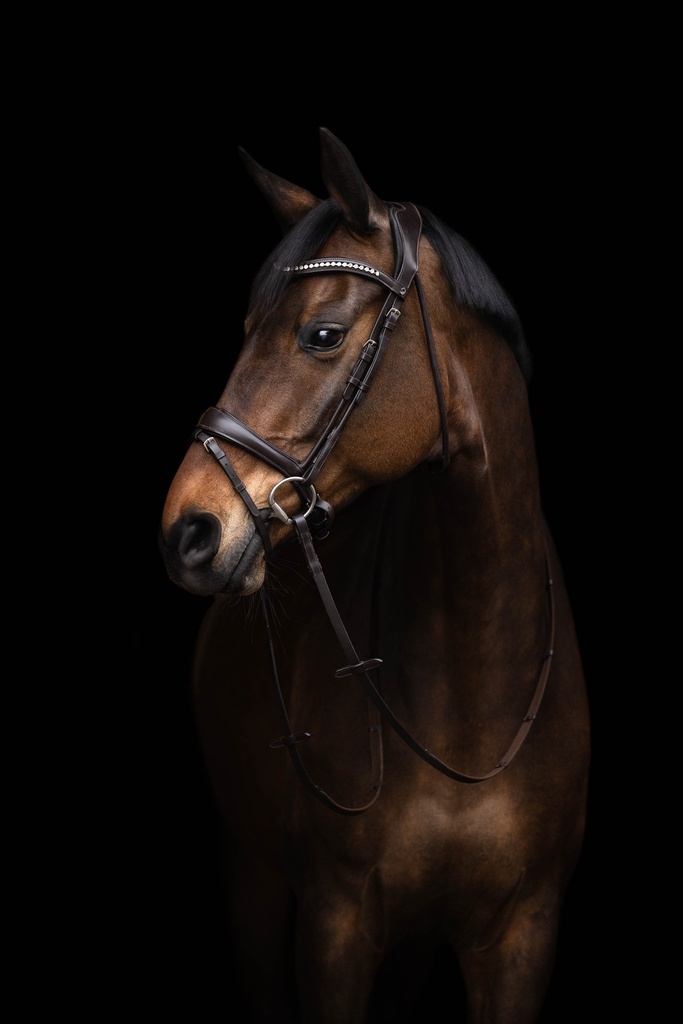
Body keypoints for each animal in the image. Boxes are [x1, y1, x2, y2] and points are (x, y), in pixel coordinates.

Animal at [159, 127, 590, 1023]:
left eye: (320, 335)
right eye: (244, 326)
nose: (188, 531)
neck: (472, 686)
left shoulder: (522, 936)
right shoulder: (335, 928)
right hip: (251, 876)